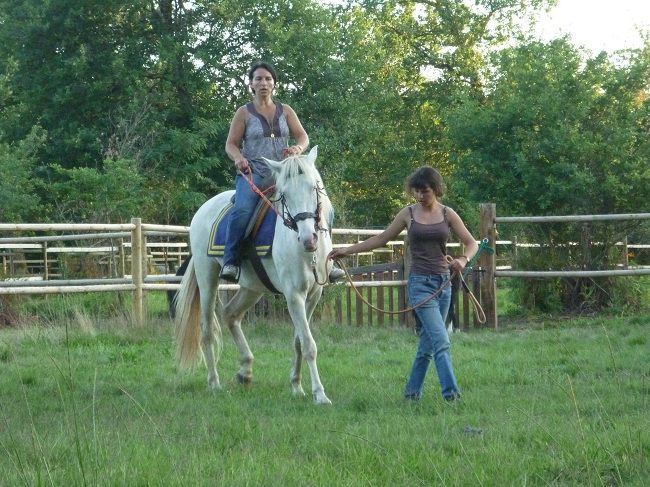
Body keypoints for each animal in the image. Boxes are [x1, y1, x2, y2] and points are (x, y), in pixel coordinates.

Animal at [174, 146, 333, 405]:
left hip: (252, 288)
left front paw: (296, 386)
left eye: (314, 187)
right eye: (284, 195)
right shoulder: (294, 295)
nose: (308, 238)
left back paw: (245, 371)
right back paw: (214, 383)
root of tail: (204, 209)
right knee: (207, 329)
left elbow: (299, 341)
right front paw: (319, 394)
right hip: (208, 278)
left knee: (230, 314)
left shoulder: (313, 295)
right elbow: (309, 345)